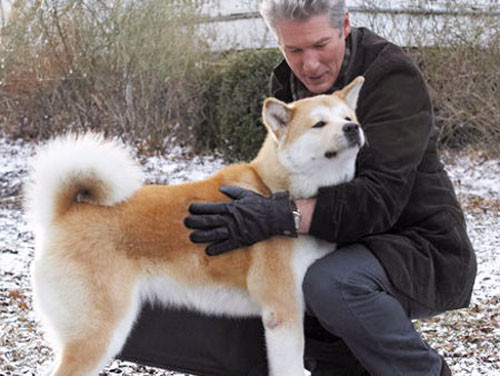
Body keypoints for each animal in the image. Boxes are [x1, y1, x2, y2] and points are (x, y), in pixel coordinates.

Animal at [25, 75, 366, 374]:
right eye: (319, 124)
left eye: (348, 116)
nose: (353, 127)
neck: (275, 190)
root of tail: (64, 213)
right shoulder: (282, 311)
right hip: (99, 334)